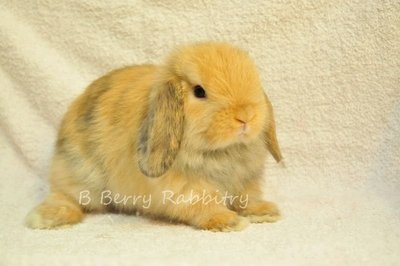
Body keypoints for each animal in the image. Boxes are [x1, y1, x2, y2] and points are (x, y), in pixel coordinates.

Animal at [25, 41, 282, 231]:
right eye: (199, 91)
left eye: (255, 81)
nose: (246, 116)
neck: (221, 151)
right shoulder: (186, 187)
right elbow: (202, 204)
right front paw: (229, 221)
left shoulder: (245, 180)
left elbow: (247, 198)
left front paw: (264, 212)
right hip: (82, 174)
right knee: (65, 196)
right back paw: (50, 218)